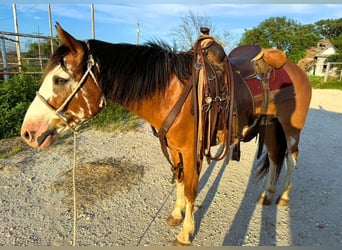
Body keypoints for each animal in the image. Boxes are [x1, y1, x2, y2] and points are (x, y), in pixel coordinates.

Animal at [20, 23, 312, 246]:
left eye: (60, 79)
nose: (28, 133)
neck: (171, 92)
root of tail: (295, 67)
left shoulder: (191, 150)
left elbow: (192, 188)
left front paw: (186, 232)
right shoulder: (175, 149)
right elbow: (181, 182)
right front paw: (176, 214)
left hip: (291, 129)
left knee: (292, 158)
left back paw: (284, 196)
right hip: (270, 125)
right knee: (275, 158)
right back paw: (268, 194)